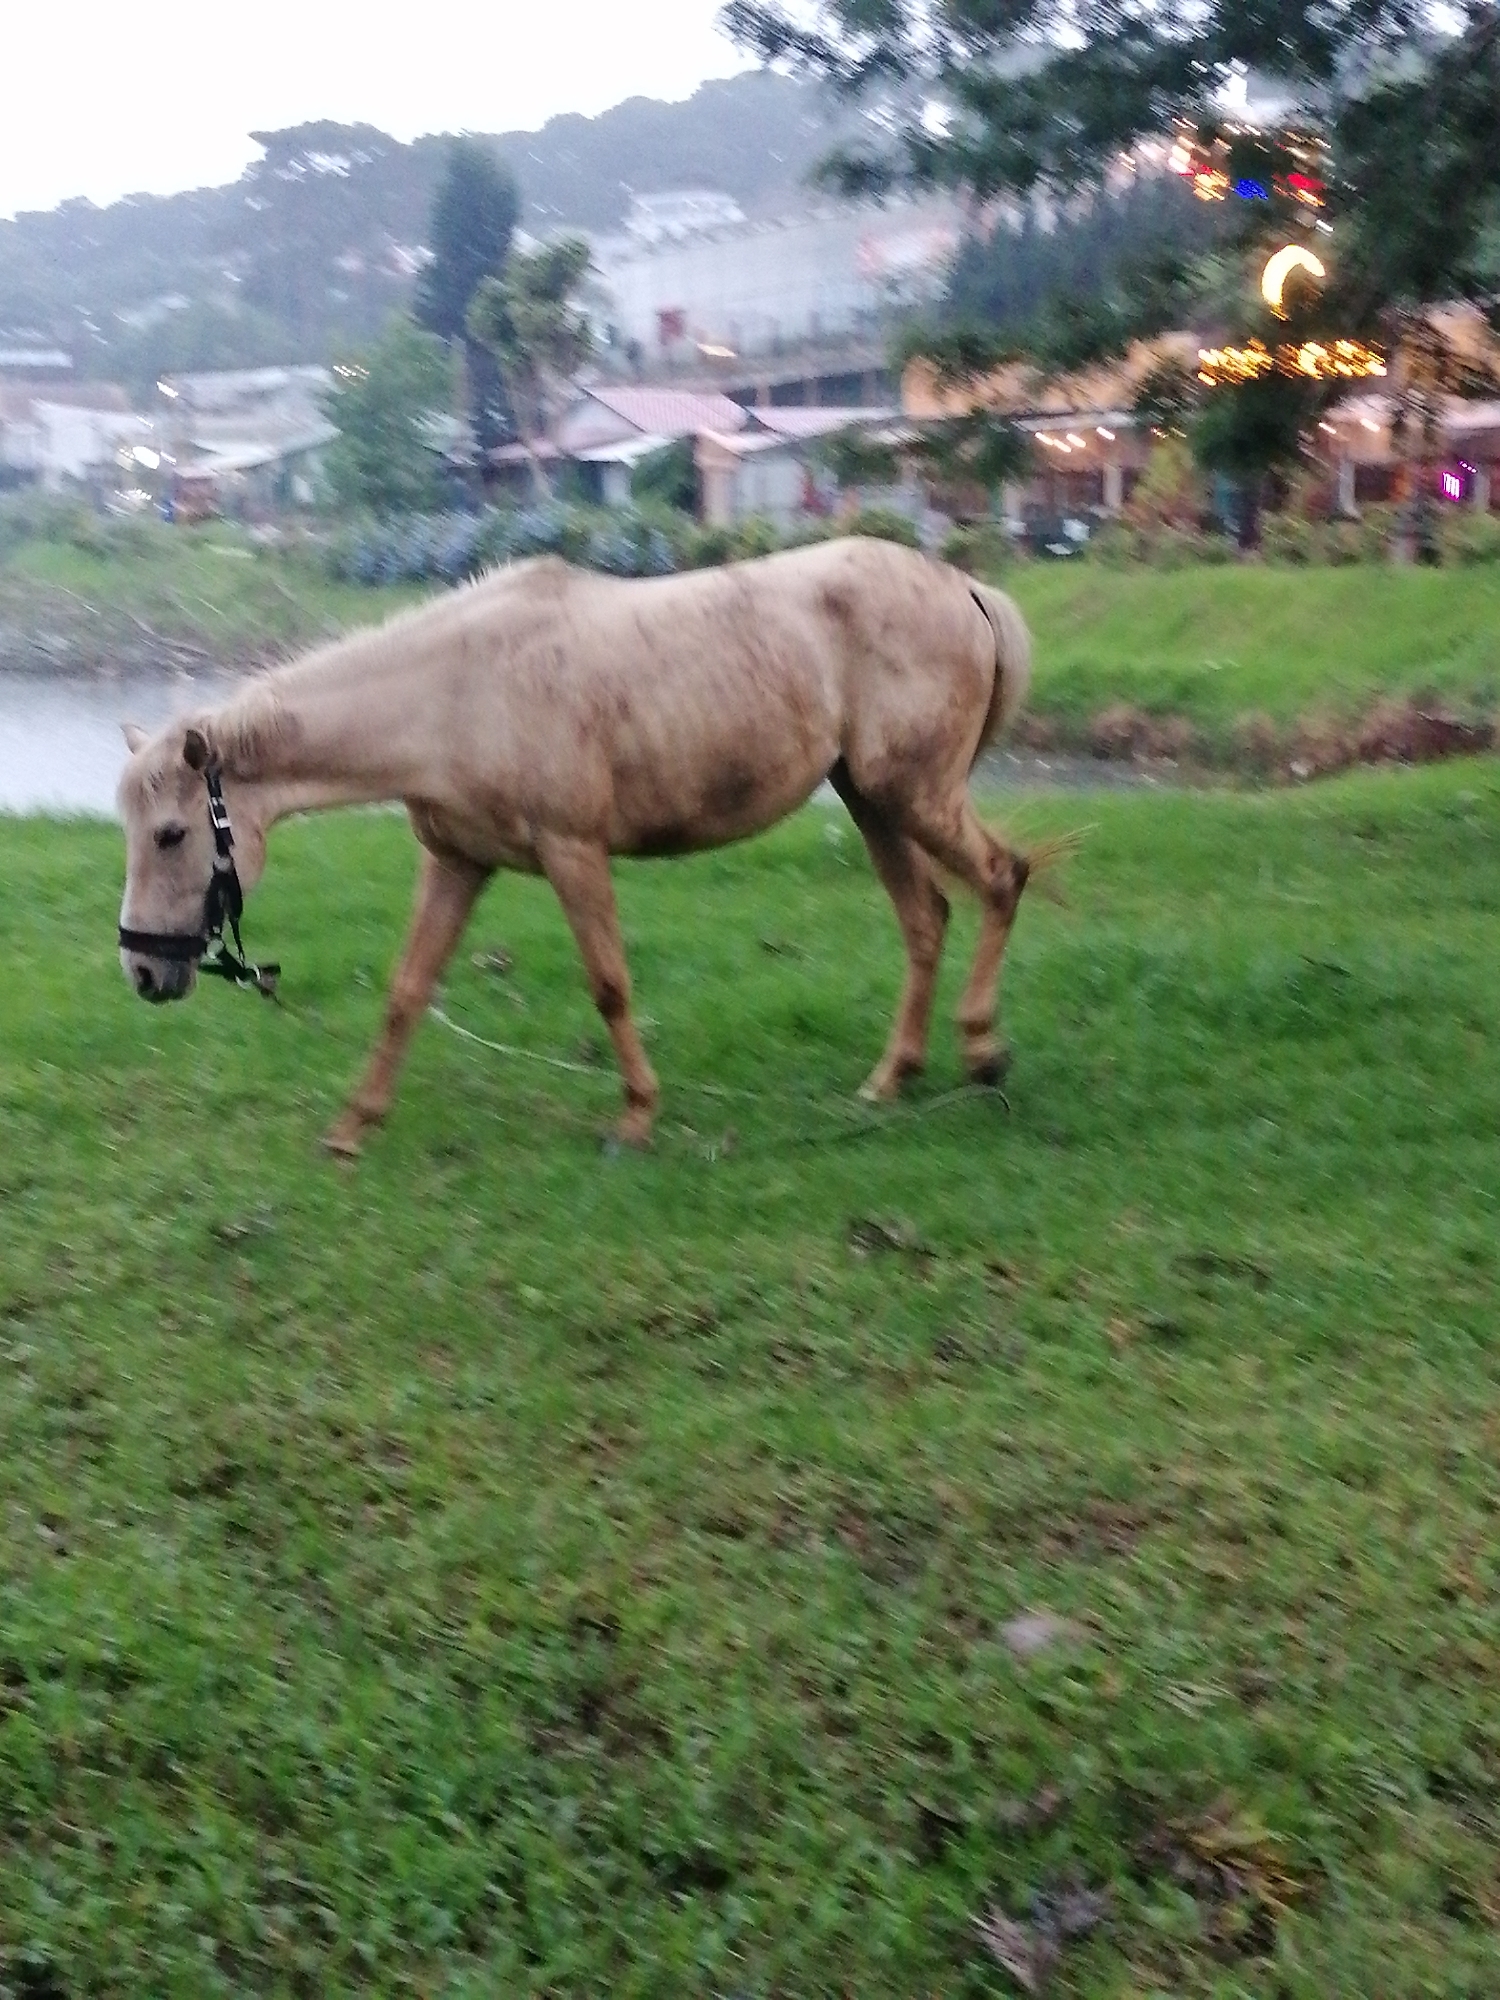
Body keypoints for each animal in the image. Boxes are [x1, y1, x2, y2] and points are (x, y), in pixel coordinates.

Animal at [116, 536, 1034, 1156]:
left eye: (170, 834)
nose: (143, 970)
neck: (456, 693)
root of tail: (964, 587)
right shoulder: (456, 863)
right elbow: (408, 992)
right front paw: (354, 1125)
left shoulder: (572, 851)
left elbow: (610, 987)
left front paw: (636, 1116)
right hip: (872, 800)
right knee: (926, 919)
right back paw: (892, 1077)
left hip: (913, 795)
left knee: (1002, 878)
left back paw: (985, 1051)